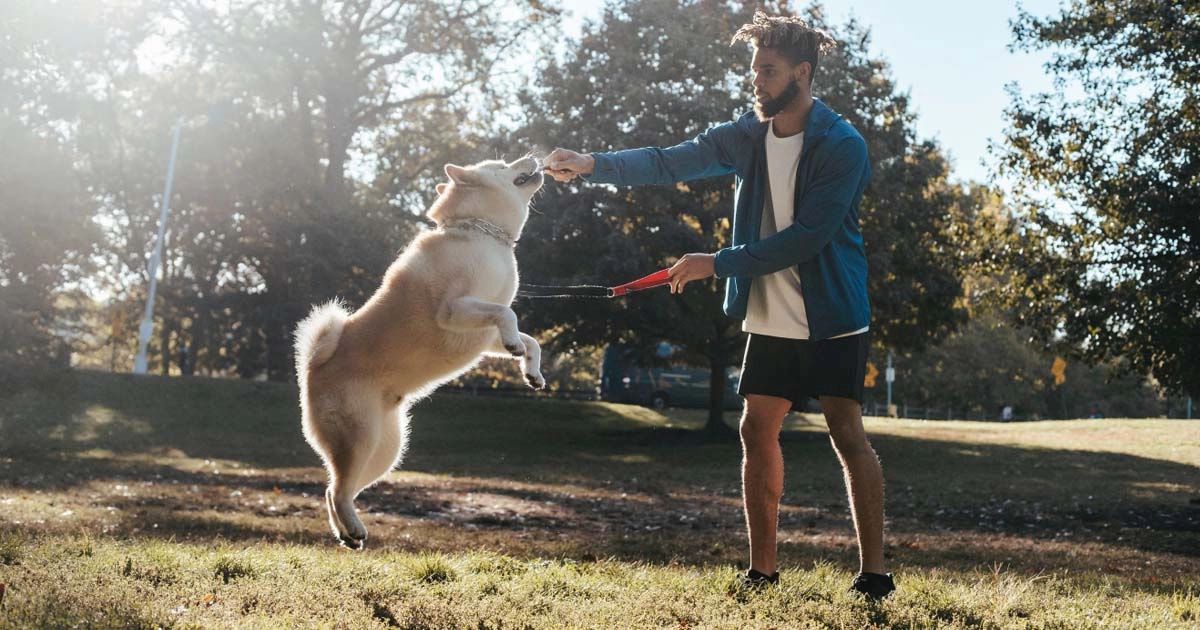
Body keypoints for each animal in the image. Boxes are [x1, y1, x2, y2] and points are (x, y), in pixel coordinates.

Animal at [296, 156, 549, 544]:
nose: (533, 157)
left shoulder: (482, 333)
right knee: (337, 489)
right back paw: (353, 527)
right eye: (504, 164)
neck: (484, 234)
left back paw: (347, 532)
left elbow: (528, 337)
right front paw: (516, 346)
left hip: (387, 450)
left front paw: (531, 369)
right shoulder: (454, 310)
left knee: (334, 489)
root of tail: (314, 368)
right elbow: (508, 313)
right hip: (361, 437)